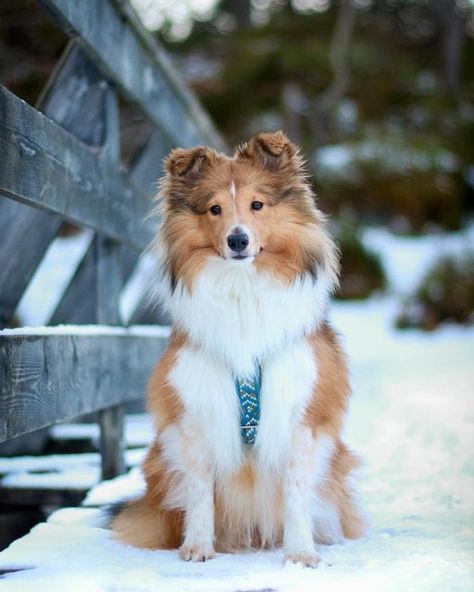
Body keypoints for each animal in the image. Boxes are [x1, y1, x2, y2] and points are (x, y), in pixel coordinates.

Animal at [111, 131, 366, 568]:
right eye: (214, 209)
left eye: (257, 205)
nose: (237, 239)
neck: (242, 287)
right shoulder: (197, 409)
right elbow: (200, 492)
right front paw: (198, 547)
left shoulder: (299, 411)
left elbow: (295, 492)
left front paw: (300, 554)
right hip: (159, 460)